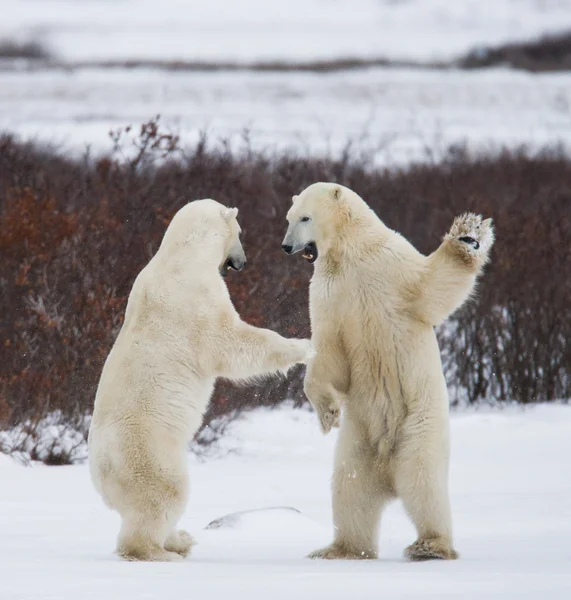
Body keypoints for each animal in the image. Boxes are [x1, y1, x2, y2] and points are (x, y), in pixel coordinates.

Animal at [89, 199, 312, 560]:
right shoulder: (197, 298)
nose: (243, 262)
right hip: (148, 452)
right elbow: (231, 342)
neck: (182, 253)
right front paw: (303, 345)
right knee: (163, 493)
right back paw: (160, 549)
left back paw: (179, 539)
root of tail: (99, 473)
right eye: (240, 232)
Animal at [282, 183, 496, 564]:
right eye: (288, 218)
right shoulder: (327, 293)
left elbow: (432, 288)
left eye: (305, 217)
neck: (349, 253)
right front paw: (327, 412)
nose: (286, 246)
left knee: (422, 480)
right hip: (358, 438)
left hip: (419, 423)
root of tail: (387, 472)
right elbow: (327, 350)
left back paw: (430, 546)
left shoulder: (392, 262)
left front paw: (469, 234)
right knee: (350, 488)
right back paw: (340, 549)